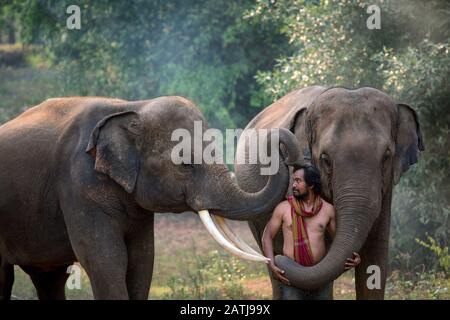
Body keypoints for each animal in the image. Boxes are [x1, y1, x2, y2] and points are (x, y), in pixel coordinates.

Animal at [0, 95, 302, 300]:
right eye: (186, 164)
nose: (278, 139)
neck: (130, 106)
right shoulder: (78, 186)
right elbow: (106, 261)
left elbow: (142, 260)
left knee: (49, 278)